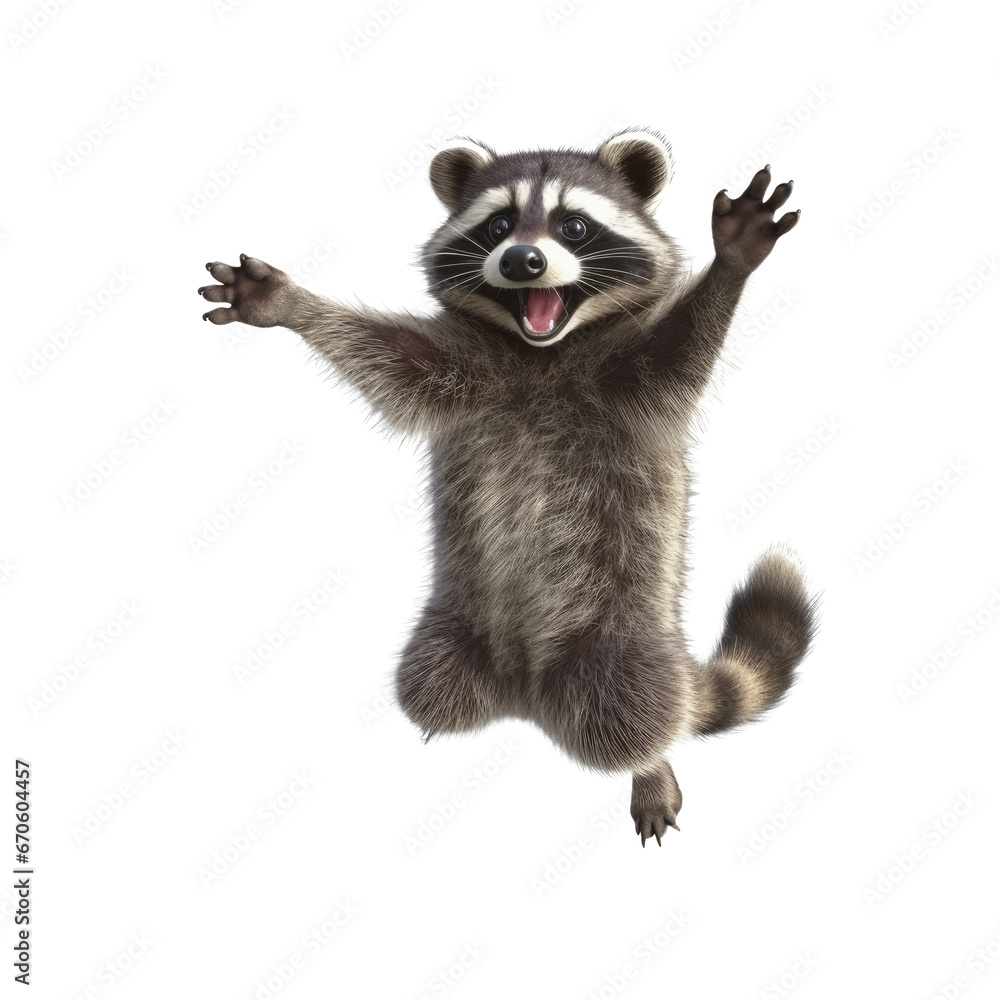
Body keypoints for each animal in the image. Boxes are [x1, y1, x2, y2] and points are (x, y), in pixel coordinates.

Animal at [199, 129, 817, 846]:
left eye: (574, 225)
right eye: (498, 225)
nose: (523, 260)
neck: (540, 351)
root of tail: (527, 690)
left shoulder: (632, 381)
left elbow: (682, 344)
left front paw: (731, 265)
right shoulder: (459, 370)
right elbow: (385, 353)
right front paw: (294, 305)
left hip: (622, 641)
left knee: (632, 711)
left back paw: (650, 762)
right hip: (454, 627)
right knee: (432, 686)